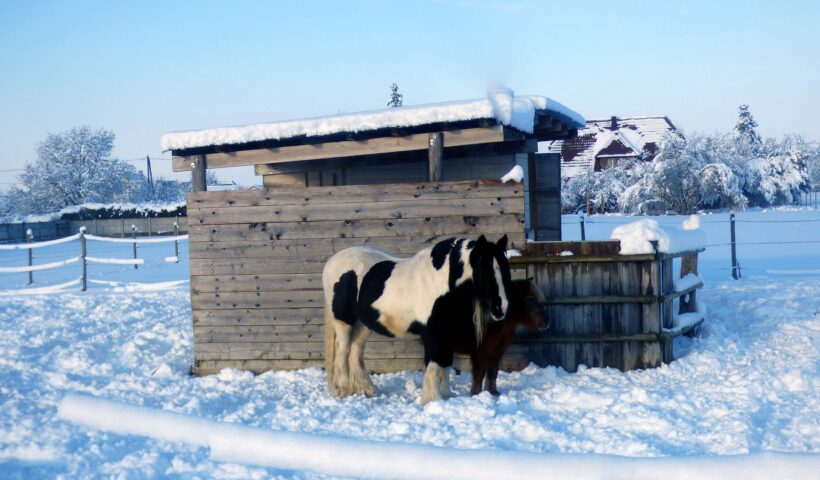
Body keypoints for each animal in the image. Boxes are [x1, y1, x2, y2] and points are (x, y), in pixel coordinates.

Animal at [322, 234, 510, 404]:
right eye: (485, 271)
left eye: (505, 269)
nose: (501, 309)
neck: (441, 281)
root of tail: (331, 263)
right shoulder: (433, 334)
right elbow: (434, 365)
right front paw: (432, 399)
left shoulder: (446, 334)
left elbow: (445, 363)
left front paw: (446, 396)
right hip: (344, 322)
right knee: (342, 351)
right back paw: (343, 390)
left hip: (363, 324)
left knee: (355, 350)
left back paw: (365, 389)